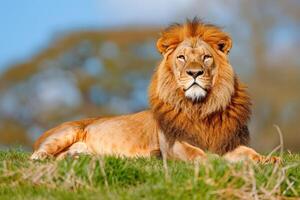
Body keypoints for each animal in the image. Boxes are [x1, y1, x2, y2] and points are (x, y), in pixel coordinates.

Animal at [29, 18, 278, 164]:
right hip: (66, 132)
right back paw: (41, 158)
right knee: (37, 154)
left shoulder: (229, 143)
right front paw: (212, 162)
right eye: (181, 57)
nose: (194, 73)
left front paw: (270, 161)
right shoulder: (173, 145)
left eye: (206, 57)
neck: (200, 108)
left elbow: (250, 153)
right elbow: (196, 154)